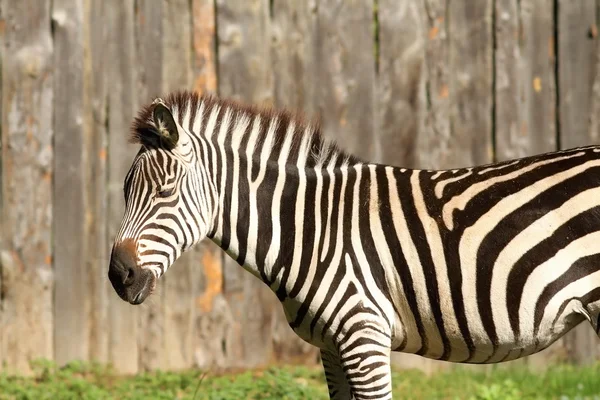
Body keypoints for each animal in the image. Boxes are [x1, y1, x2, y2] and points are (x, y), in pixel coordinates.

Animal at [110, 91, 600, 400]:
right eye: (125, 190)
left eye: (166, 192)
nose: (119, 276)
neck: (310, 228)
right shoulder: (330, 346)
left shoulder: (365, 335)